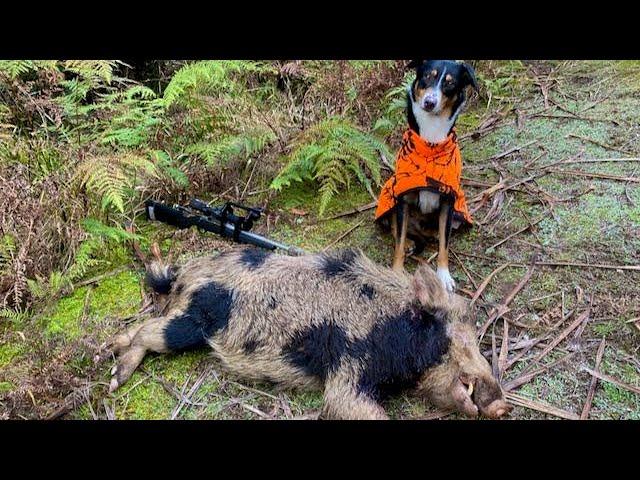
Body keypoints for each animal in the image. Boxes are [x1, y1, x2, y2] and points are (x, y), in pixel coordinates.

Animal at [109, 248, 510, 420]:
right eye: (452, 339)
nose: (502, 404)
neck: (392, 326)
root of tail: (186, 274)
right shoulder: (349, 365)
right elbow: (348, 404)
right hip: (193, 322)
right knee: (150, 332)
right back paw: (114, 377)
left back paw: (108, 353)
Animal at [378, 60, 478, 292]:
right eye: (427, 76)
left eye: (450, 83)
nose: (430, 102)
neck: (431, 144)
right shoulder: (403, 198)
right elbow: (398, 241)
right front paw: (397, 272)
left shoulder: (449, 201)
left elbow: (444, 244)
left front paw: (444, 275)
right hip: (390, 194)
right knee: (396, 228)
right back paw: (409, 242)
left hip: (457, 213)